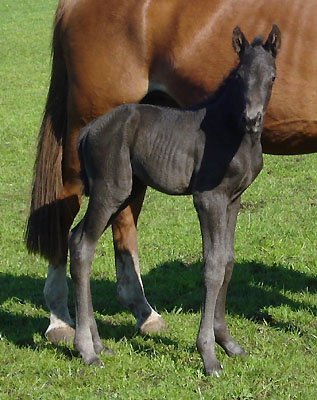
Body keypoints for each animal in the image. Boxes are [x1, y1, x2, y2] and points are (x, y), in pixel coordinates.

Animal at [68, 26, 278, 376]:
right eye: (239, 76)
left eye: (272, 76)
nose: (252, 118)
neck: (234, 132)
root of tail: (87, 132)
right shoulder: (208, 199)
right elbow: (212, 266)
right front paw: (209, 354)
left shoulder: (233, 200)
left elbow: (228, 261)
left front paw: (227, 342)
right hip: (109, 191)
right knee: (83, 245)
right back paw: (86, 349)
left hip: (122, 192)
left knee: (75, 237)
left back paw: (98, 344)